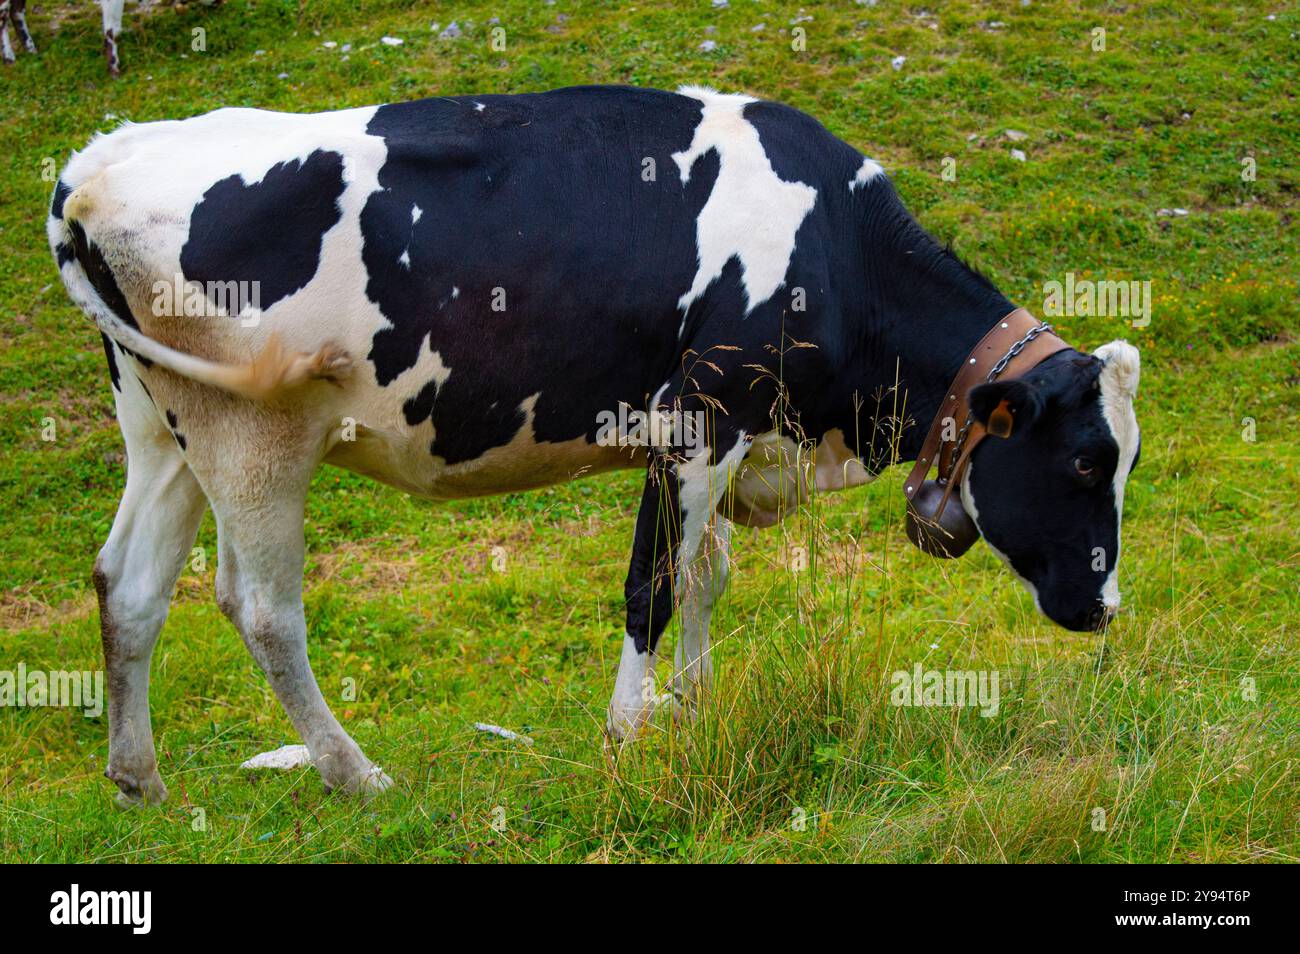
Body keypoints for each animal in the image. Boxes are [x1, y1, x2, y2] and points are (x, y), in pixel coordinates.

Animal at [48, 85, 1141, 804]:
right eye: (1087, 462)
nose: (1103, 610)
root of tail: (100, 161)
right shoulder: (698, 418)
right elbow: (652, 586)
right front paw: (624, 740)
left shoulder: (729, 437)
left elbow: (706, 576)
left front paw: (694, 710)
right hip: (255, 435)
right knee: (262, 608)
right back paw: (356, 775)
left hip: (163, 424)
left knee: (128, 586)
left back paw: (140, 782)